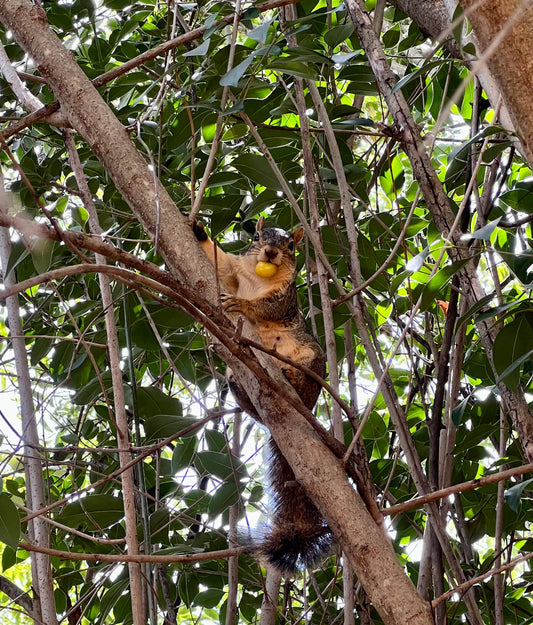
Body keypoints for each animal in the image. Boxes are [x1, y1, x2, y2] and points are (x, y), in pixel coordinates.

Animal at [191, 217, 332, 572]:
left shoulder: (285, 297)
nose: (270, 252)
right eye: (256, 236)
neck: (259, 276)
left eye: (291, 245)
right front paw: (199, 231)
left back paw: (291, 377)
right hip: (234, 378)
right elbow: (219, 263)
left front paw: (243, 305)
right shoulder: (233, 271)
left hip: (312, 359)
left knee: (304, 377)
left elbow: (268, 307)